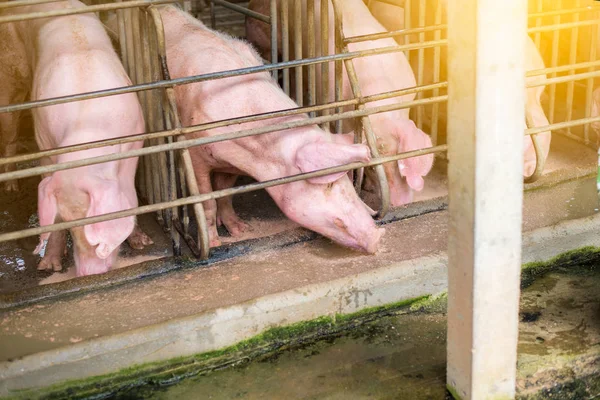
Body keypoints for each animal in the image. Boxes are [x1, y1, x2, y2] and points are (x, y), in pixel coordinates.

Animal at [11, 0, 152, 276]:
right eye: (70, 226)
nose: (87, 275)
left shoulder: (136, 140)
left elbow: (130, 195)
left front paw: (142, 243)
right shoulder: (44, 145)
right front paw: (49, 267)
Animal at [159, 5, 384, 253]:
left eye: (347, 184)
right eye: (329, 184)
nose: (378, 236)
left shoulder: (230, 164)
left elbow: (226, 193)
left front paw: (240, 230)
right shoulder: (195, 156)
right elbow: (207, 202)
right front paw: (216, 243)